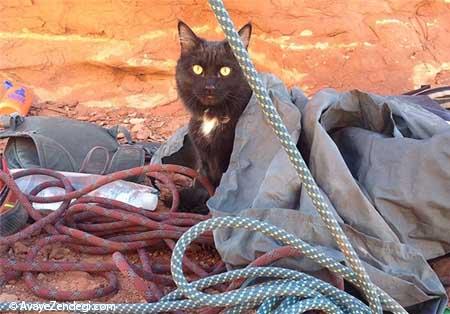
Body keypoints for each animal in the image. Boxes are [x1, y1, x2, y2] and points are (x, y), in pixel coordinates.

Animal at [175, 20, 253, 213]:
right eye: (197, 69)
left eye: (225, 71)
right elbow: (202, 184)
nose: (209, 87)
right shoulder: (203, 160)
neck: (213, 118)